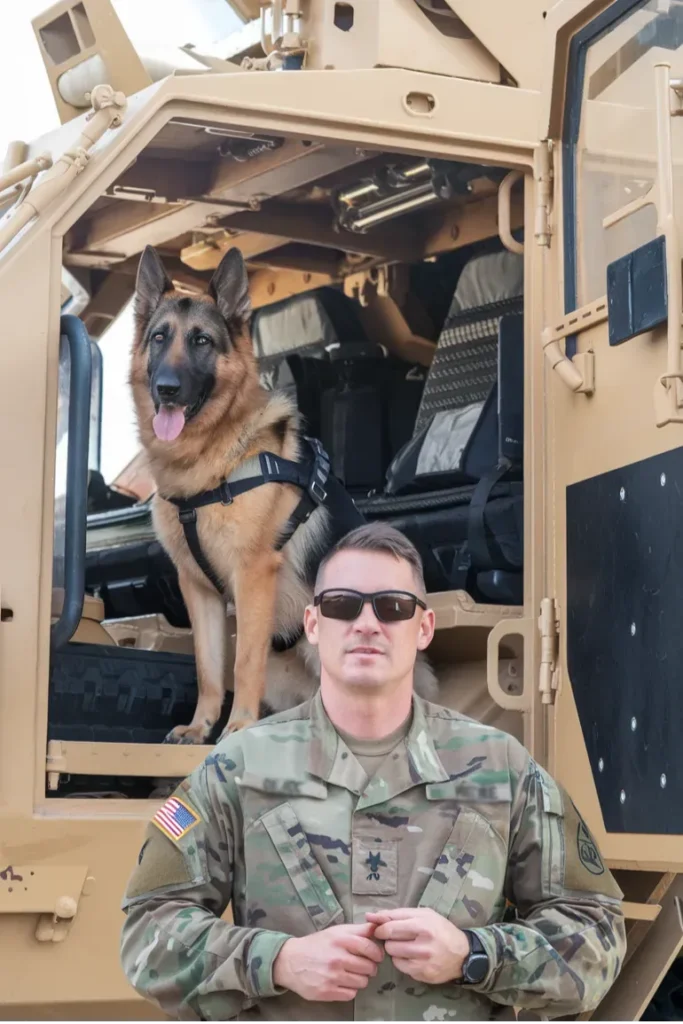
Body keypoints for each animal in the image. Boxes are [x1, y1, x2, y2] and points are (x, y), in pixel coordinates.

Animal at [129, 247, 438, 745]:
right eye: (159, 338)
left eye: (201, 341)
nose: (167, 389)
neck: (210, 462)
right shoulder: (197, 588)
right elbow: (209, 667)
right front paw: (200, 726)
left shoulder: (253, 574)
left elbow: (243, 662)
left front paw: (238, 726)